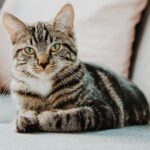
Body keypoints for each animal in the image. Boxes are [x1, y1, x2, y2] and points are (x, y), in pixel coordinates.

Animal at [2, 3, 149, 132]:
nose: (43, 63)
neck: (44, 85)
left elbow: (72, 115)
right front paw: (23, 118)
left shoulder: (103, 110)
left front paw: (46, 116)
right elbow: (23, 111)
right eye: (29, 50)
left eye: (55, 47)